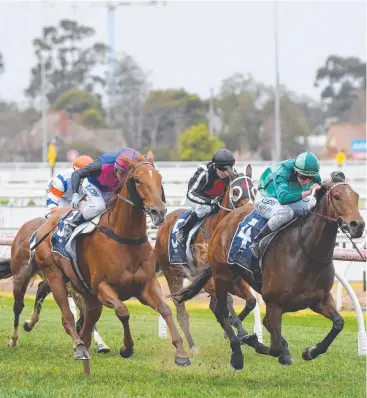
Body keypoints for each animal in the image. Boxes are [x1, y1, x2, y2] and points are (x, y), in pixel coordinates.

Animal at [30, 150, 191, 370]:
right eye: (137, 180)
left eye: (159, 178)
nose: (159, 211)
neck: (126, 239)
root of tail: (46, 226)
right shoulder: (102, 287)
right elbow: (123, 311)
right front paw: (126, 348)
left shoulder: (147, 285)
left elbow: (165, 310)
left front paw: (181, 353)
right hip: (55, 277)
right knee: (68, 316)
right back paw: (79, 347)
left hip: (87, 293)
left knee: (88, 320)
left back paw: (89, 345)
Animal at [154, 165, 258, 354]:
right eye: (236, 191)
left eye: (254, 190)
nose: (250, 209)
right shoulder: (210, 280)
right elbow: (226, 302)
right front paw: (238, 330)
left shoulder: (234, 279)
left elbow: (251, 301)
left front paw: (236, 330)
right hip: (172, 274)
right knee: (181, 311)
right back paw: (192, 346)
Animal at [175, 171, 366, 370]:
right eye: (337, 196)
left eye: (356, 197)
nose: (357, 225)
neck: (306, 252)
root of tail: (225, 220)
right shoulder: (274, 304)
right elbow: (274, 347)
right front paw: (252, 340)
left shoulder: (319, 300)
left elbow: (339, 323)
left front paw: (310, 352)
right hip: (222, 276)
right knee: (222, 311)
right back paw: (237, 354)